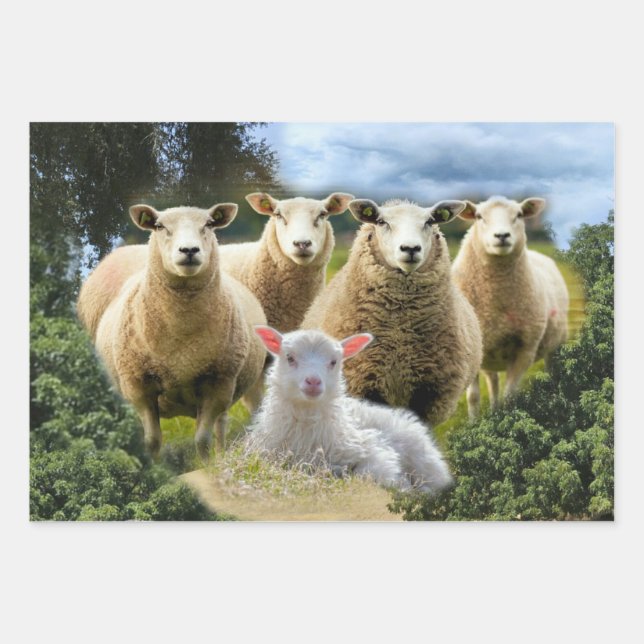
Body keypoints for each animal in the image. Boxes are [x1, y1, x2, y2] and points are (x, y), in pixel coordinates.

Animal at [92, 202, 267, 460]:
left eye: (209, 224)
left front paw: (207, 464)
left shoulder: (218, 384)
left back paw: (221, 454)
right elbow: (152, 440)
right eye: (159, 226)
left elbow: (202, 439)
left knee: (220, 426)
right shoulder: (138, 386)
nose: (189, 250)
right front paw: (153, 466)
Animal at [246, 326, 453, 493]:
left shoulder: (372, 448)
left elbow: (371, 472)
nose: (313, 381)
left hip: (423, 459)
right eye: (290, 358)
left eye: (334, 362)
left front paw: (403, 486)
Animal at [301, 198, 483, 427]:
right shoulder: (364, 382)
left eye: (430, 221)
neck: (400, 332)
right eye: (381, 221)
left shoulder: (429, 392)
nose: (410, 248)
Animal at [451, 196, 569, 416]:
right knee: (493, 383)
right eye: (479, 216)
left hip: (556, 344)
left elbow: (510, 397)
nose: (502, 235)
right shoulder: (470, 351)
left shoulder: (525, 350)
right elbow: (473, 397)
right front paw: (475, 422)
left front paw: (507, 418)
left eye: (519, 215)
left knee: (553, 371)